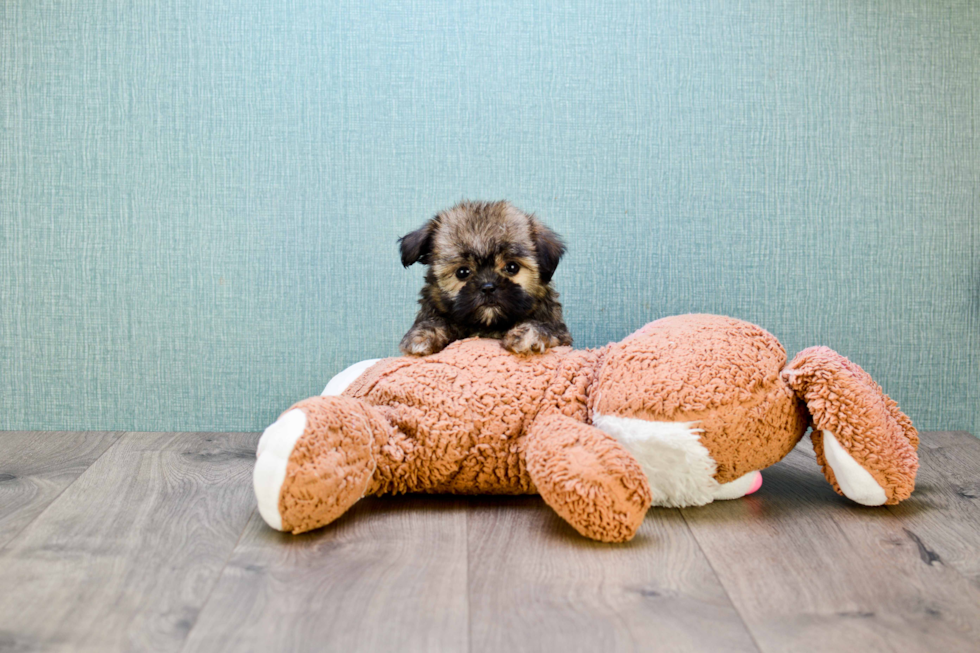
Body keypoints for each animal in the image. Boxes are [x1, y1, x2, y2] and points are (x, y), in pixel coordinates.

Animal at [398, 201, 576, 356]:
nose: (488, 287)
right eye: (462, 272)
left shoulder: (560, 333)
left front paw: (527, 335)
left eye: (512, 267)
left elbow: (543, 326)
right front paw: (422, 335)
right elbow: (436, 321)